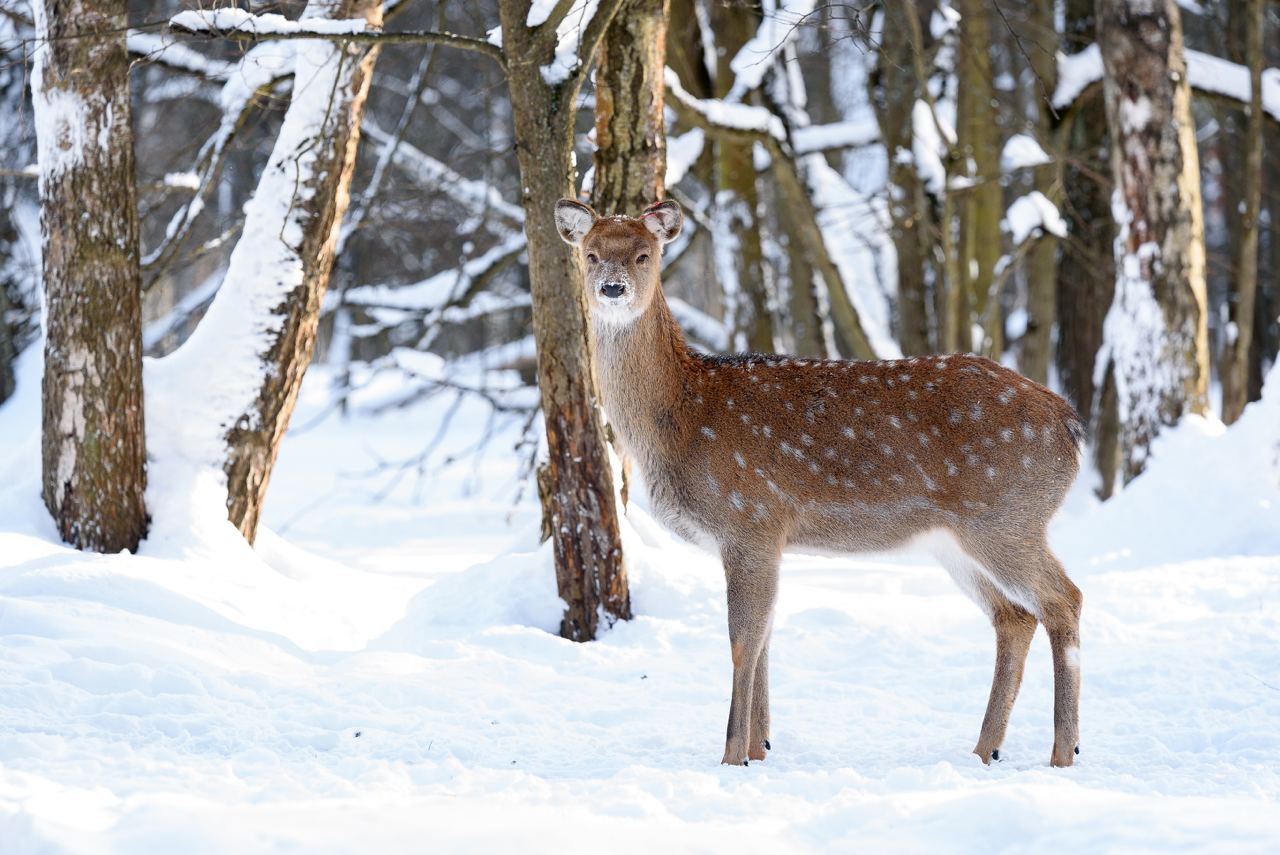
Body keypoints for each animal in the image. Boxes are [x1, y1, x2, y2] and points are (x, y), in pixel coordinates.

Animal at [555, 198, 1085, 767]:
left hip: (1007, 517)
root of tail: (1070, 426)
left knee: (1064, 600)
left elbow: (742, 642)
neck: (680, 415)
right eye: (590, 254)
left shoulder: (749, 519)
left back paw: (1063, 753)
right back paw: (985, 751)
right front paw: (761, 750)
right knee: (1014, 616)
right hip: (959, 539)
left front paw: (731, 757)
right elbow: (764, 640)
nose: (612, 288)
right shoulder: (768, 537)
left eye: (643, 254)